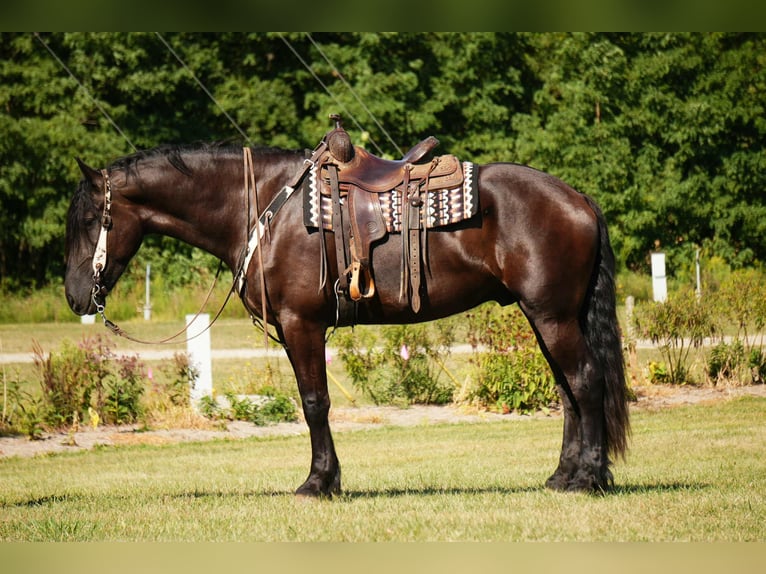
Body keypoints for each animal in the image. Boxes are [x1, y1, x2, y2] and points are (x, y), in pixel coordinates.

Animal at [65, 136, 630, 497]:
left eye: (91, 218)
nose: (74, 296)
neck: (261, 207)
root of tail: (577, 197)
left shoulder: (302, 324)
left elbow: (315, 403)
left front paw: (319, 482)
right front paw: (327, 479)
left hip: (553, 316)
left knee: (586, 381)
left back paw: (589, 478)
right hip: (546, 317)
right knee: (567, 391)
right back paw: (563, 476)